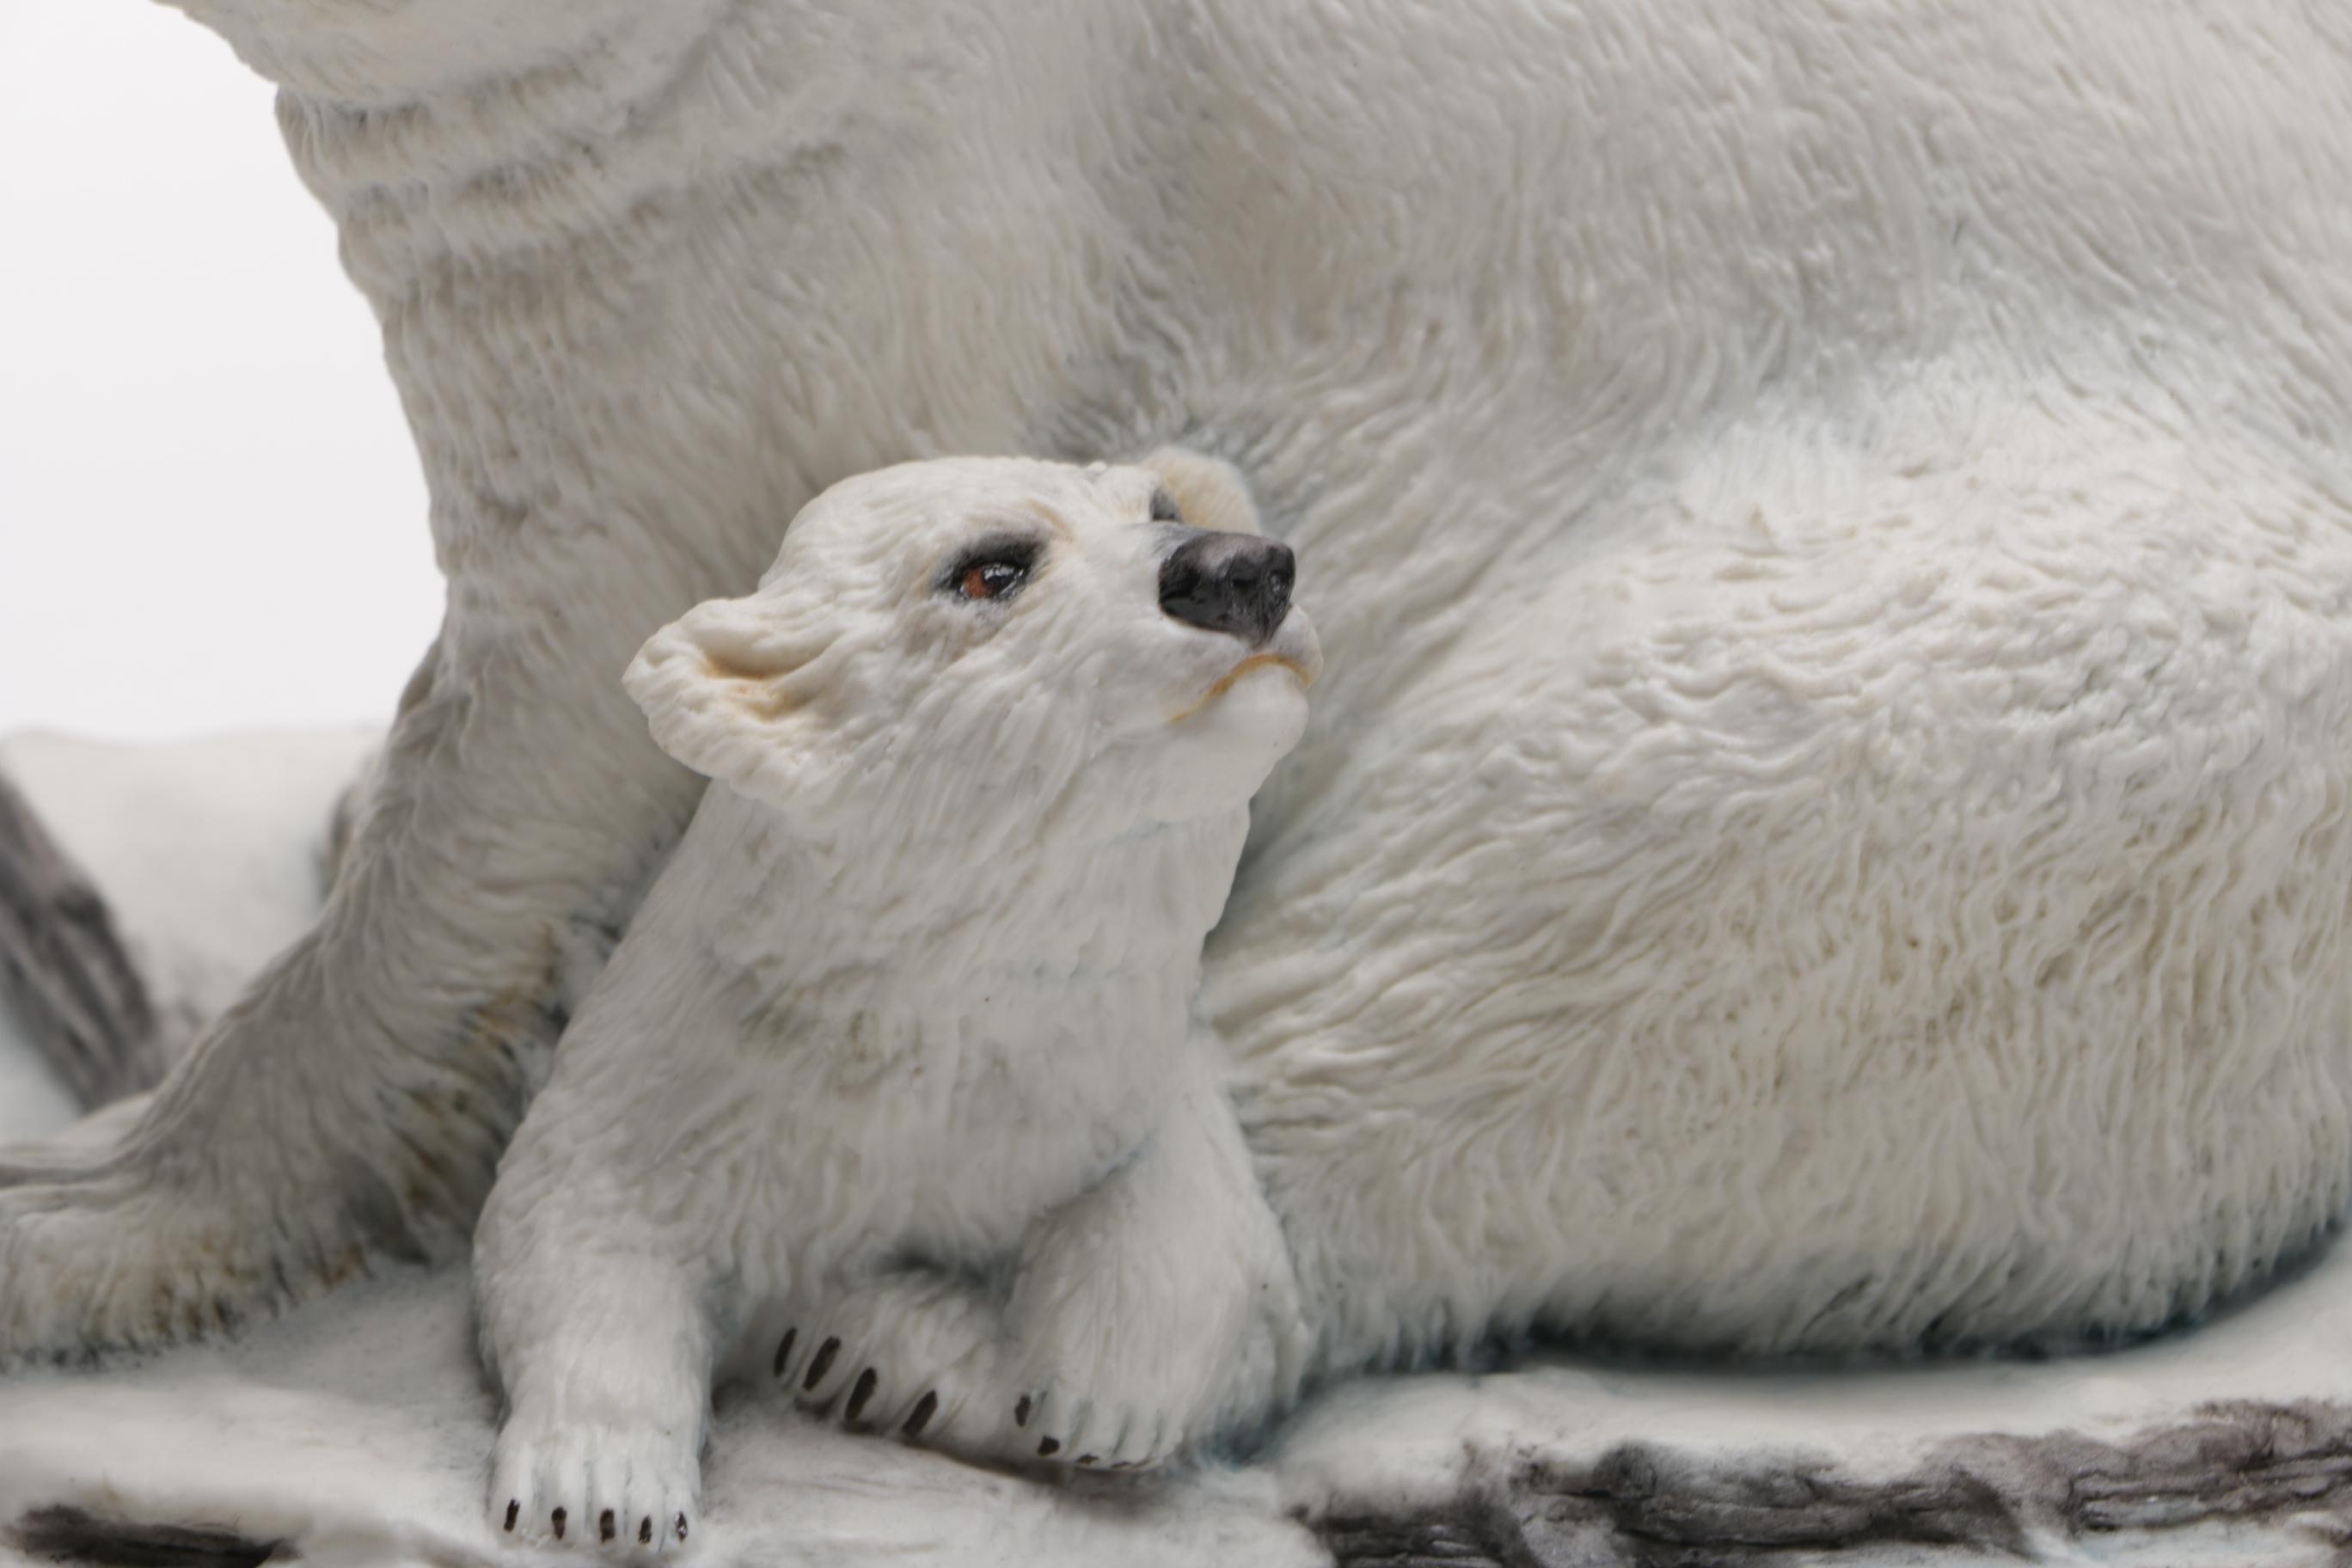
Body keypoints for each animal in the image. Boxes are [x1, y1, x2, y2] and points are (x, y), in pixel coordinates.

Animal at [474, 453, 1320, 1550]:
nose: (1241, 569)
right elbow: (564, 1219)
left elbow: (1215, 1238)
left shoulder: (1110, 1065)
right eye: (990, 569)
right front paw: (597, 1489)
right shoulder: (685, 1066)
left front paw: (1097, 1392)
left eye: (1161, 508)